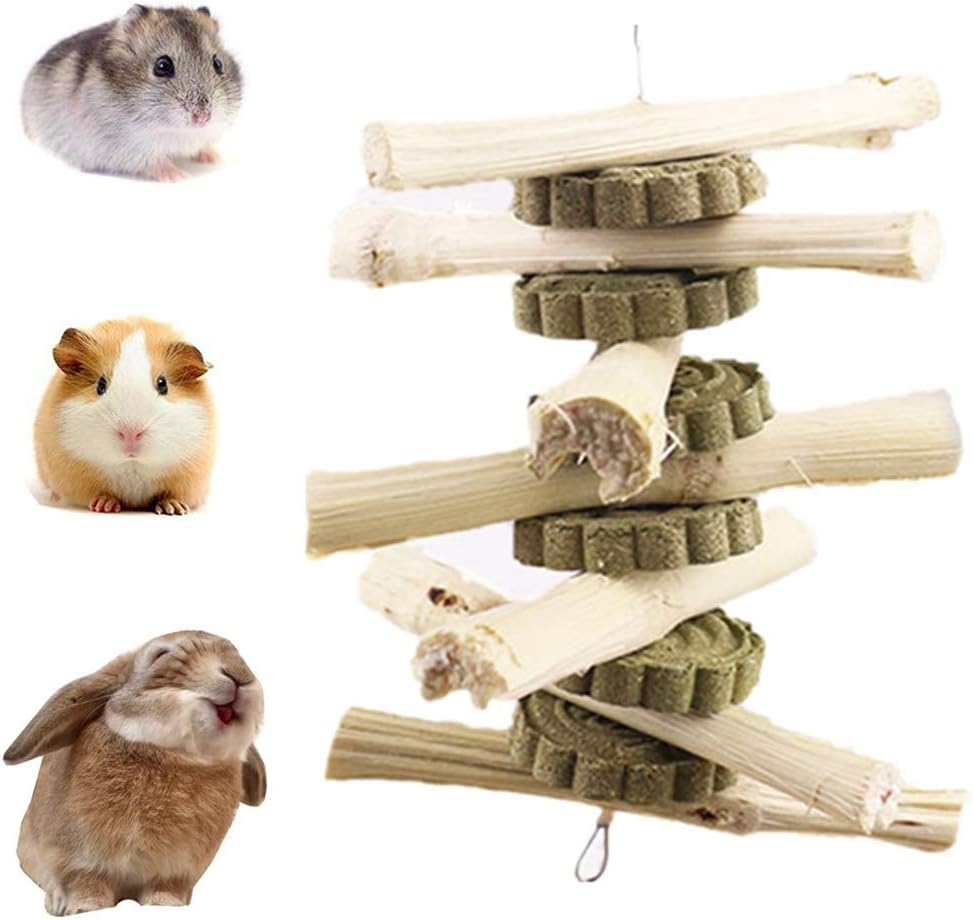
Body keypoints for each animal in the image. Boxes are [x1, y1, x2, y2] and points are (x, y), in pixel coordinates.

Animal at [4, 631, 266, 915]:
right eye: (161, 655)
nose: (240, 674)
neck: (177, 755)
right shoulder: (78, 859)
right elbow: (86, 881)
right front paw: (87, 907)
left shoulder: (176, 871)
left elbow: (166, 887)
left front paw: (166, 904)